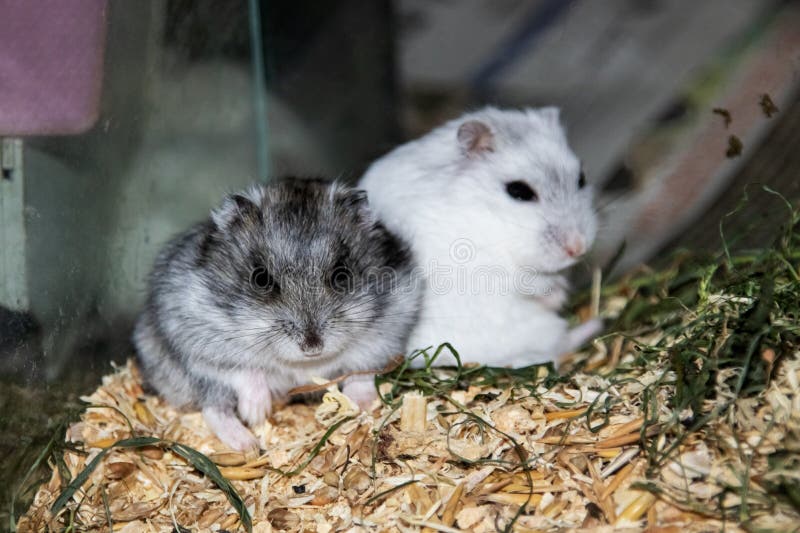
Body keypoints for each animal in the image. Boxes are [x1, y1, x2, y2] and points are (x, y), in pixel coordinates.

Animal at [134, 178, 420, 451]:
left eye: (342, 274)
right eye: (261, 278)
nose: (312, 347)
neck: (304, 365)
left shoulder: (385, 335)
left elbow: (361, 370)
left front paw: (360, 405)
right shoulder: (199, 341)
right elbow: (244, 370)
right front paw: (257, 412)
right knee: (214, 408)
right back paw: (247, 443)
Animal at [359, 106, 600, 367]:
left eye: (581, 178)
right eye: (518, 191)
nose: (578, 248)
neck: (490, 222)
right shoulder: (494, 269)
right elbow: (533, 285)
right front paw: (556, 298)